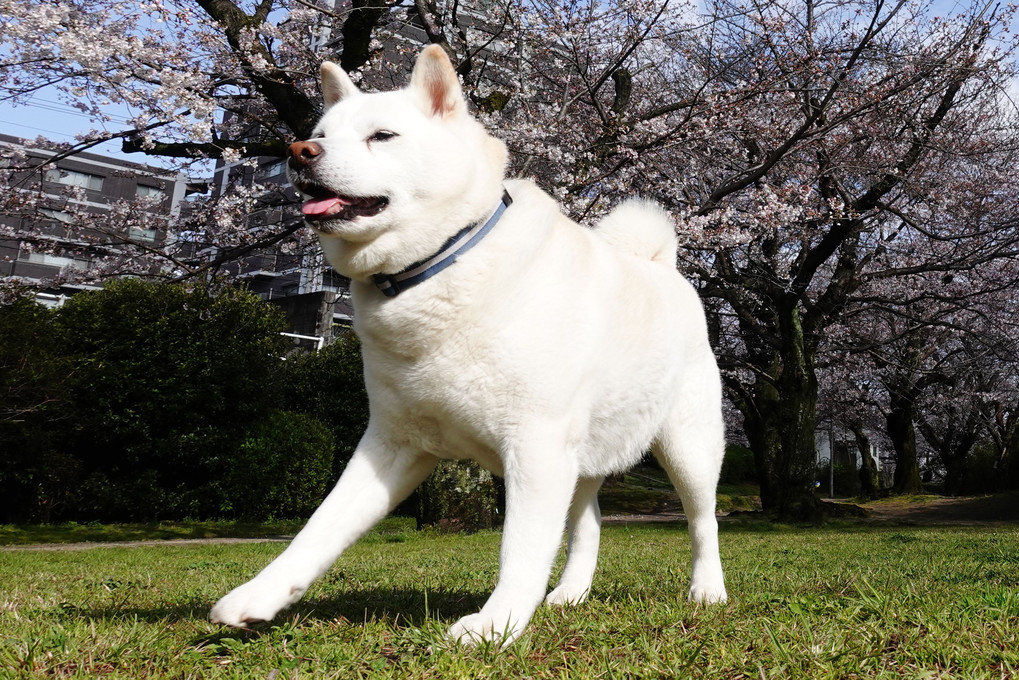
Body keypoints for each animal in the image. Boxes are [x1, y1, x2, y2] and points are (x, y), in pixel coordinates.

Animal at [210, 46, 729, 644]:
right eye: (318, 134)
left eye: (382, 136)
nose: (298, 153)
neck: (438, 265)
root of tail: (662, 266)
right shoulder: (392, 445)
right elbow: (319, 529)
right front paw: (260, 595)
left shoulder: (535, 446)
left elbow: (520, 550)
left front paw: (496, 625)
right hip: (583, 457)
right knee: (590, 523)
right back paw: (571, 594)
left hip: (687, 448)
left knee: (702, 521)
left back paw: (707, 591)